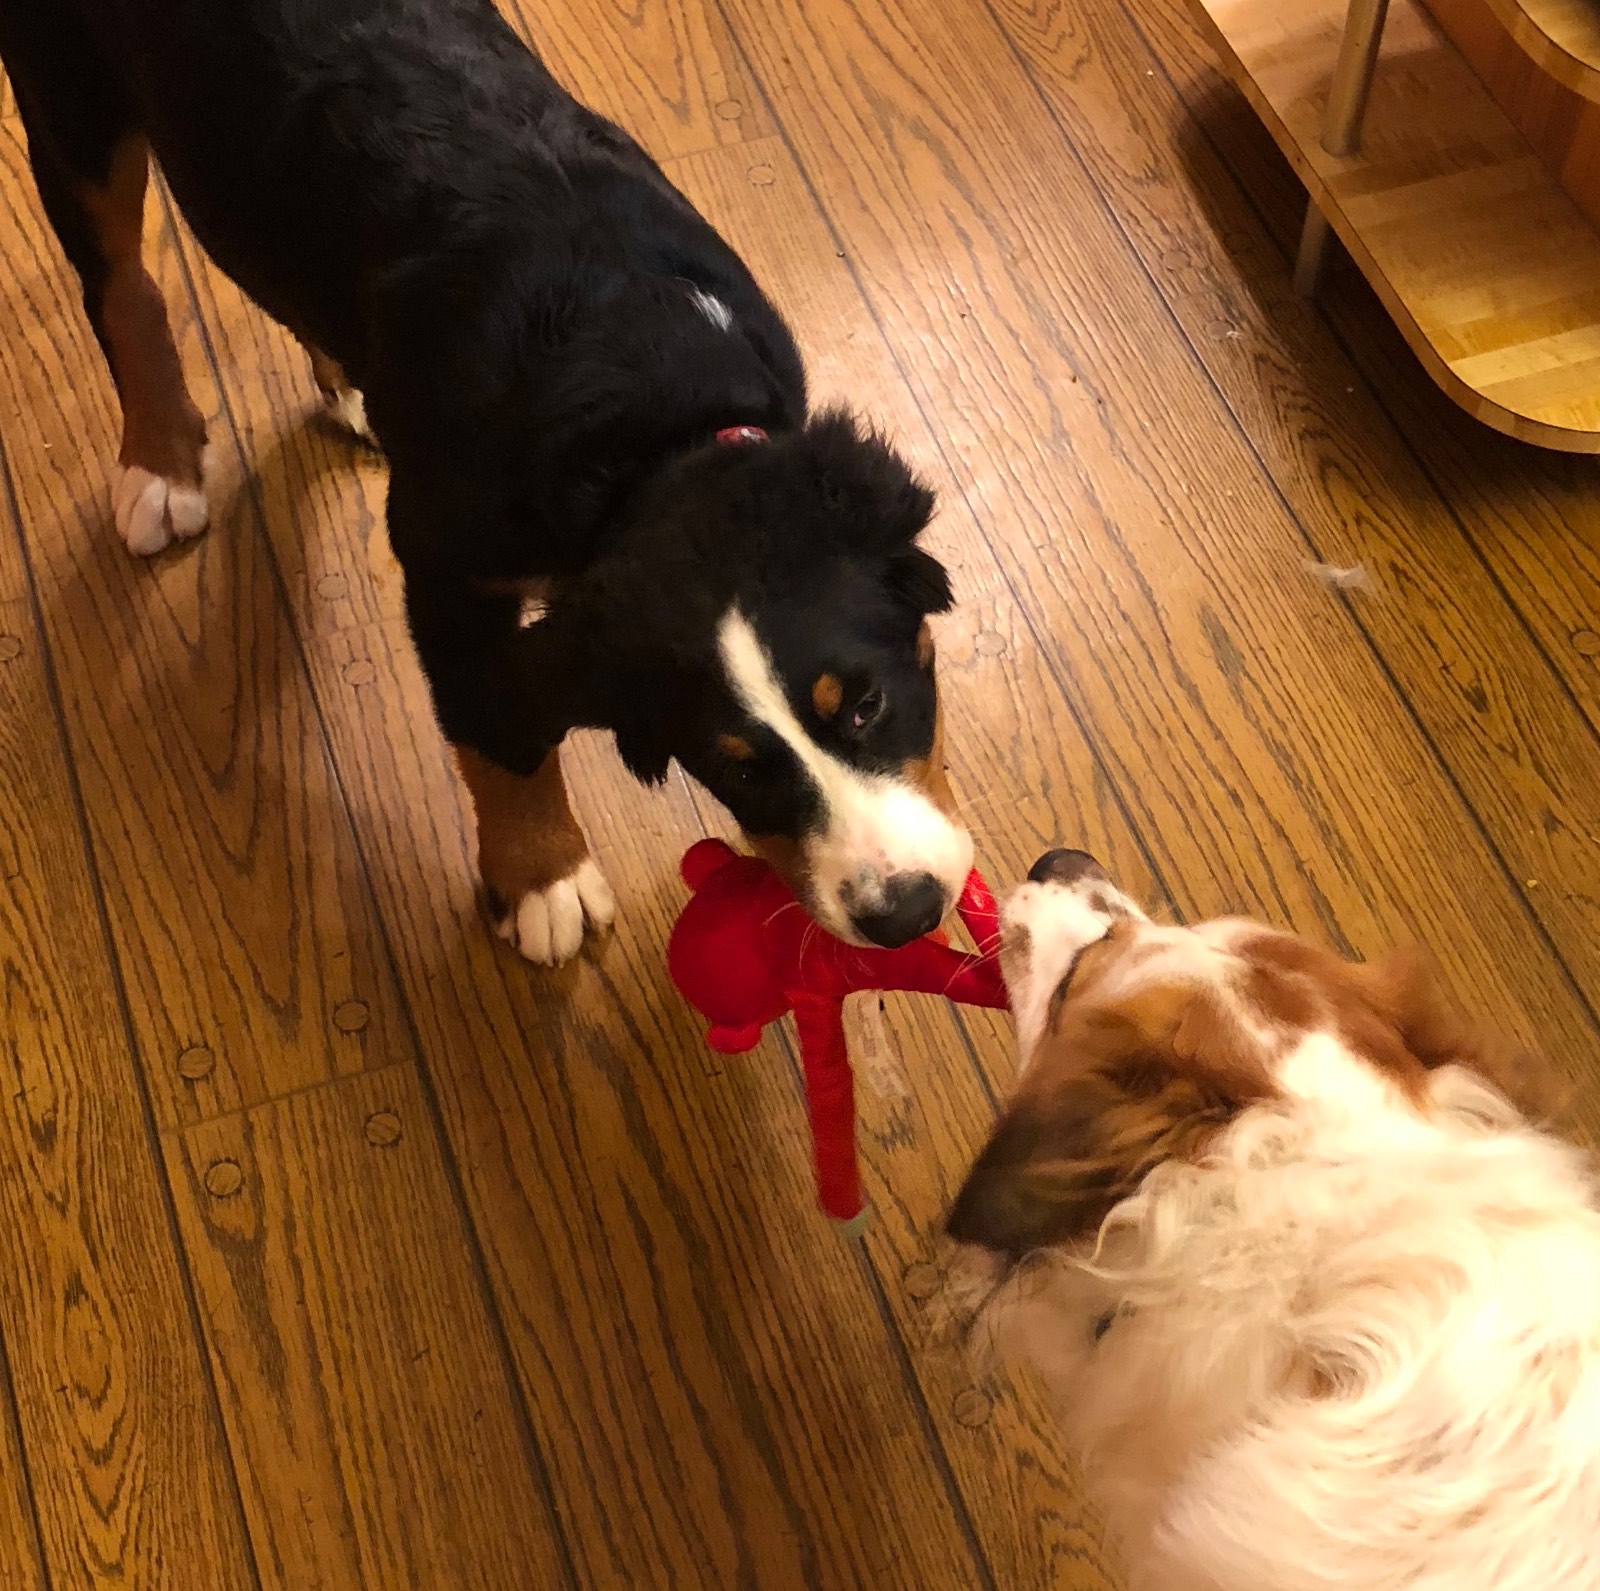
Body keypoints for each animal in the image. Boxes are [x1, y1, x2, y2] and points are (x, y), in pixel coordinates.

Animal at [0, 0, 971, 964]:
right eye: (732, 765)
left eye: (867, 703)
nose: (903, 911)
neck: (643, 410)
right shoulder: (447, 577)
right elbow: (494, 736)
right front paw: (543, 879)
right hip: (70, 104)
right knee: (122, 288)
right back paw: (161, 461)